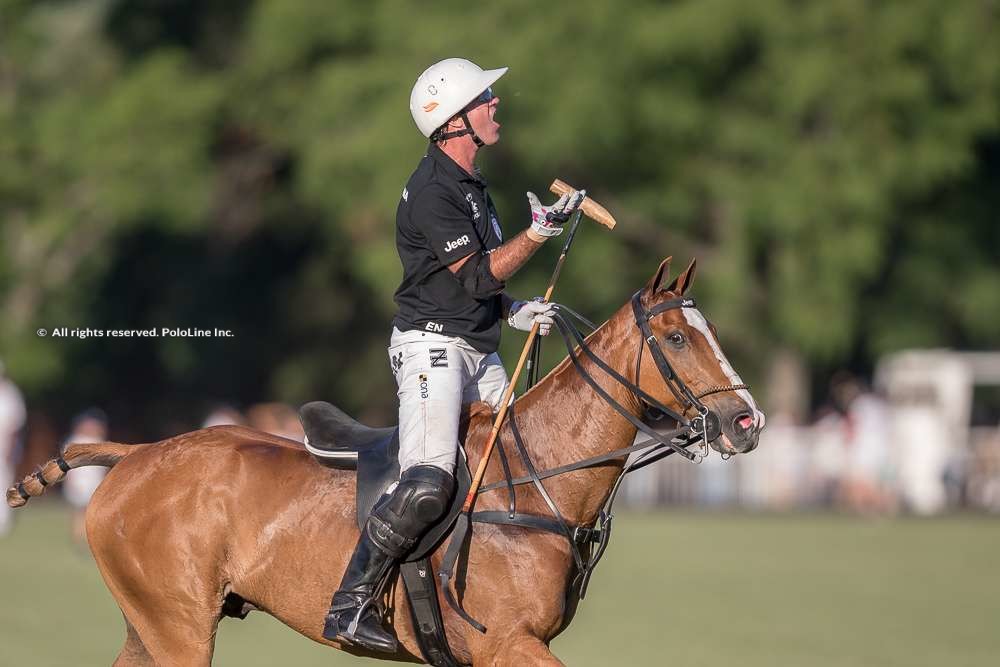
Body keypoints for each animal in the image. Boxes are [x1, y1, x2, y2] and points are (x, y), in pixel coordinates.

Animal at [7, 258, 760, 664]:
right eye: (676, 337)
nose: (746, 422)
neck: (540, 483)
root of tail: (137, 453)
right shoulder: (507, 643)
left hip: (154, 623)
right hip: (178, 625)